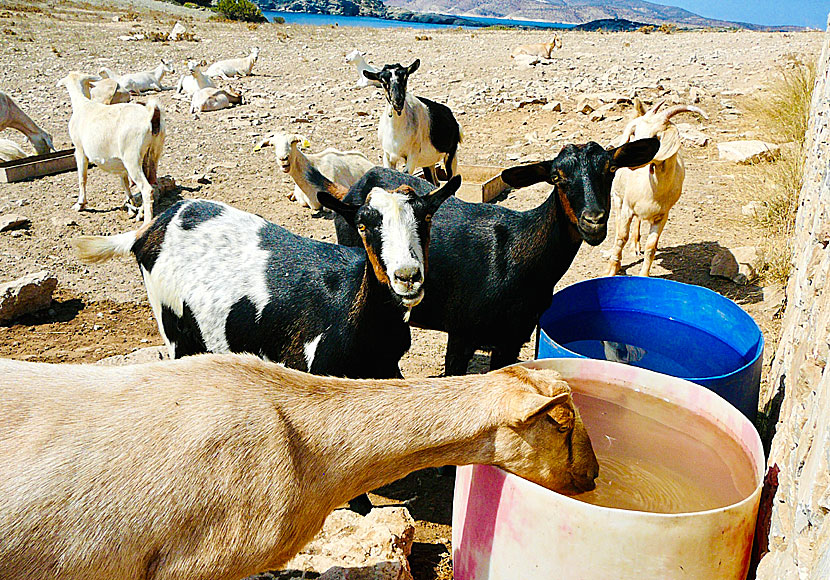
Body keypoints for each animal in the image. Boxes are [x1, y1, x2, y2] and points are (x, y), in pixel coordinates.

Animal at [57, 71, 166, 224]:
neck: (83, 105)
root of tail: (151, 115)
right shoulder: (121, 164)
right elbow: (124, 183)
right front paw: (131, 204)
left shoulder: (79, 150)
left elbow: (82, 178)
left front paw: (80, 204)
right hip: (154, 152)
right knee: (153, 182)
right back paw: (140, 213)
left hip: (132, 157)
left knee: (147, 189)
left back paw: (146, 221)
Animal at [71, 179, 462, 382]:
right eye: (364, 225)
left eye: (426, 218)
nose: (407, 277)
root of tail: (151, 228)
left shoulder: (386, 369)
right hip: (172, 325)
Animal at [328, 140, 660, 376]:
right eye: (557, 177)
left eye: (610, 170)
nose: (594, 221)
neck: (517, 255)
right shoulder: (462, 332)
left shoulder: (513, 338)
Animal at [604, 98, 708, 278]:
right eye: (635, 133)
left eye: (655, 138)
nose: (625, 157)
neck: (654, 187)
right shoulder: (627, 207)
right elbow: (621, 237)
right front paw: (612, 269)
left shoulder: (662, 215)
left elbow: (651, 247)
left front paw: (644, 275)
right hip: (618, 197)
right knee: (618, 224)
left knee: (638, 222)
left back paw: (636, 245)